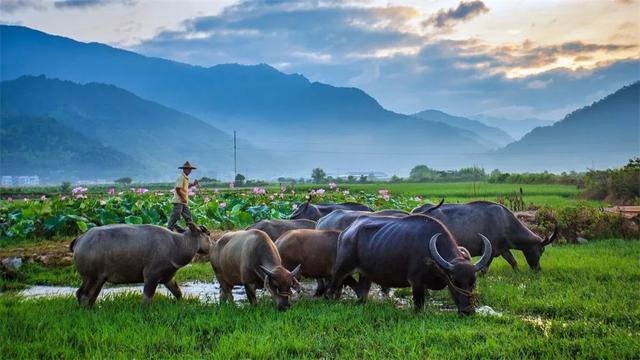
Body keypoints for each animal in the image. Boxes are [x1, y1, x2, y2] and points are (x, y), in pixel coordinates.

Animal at [70, 224, 210, 306]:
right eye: (207, 234)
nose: (212, 244)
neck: (176, 244)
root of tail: (80, 239)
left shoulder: (169, 278)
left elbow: (178, 293)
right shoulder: (151, 277)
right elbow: (147, 298)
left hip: (97, 279)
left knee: (87, 295)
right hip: (92, 278)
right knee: (84, 295)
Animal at [328, 214, 492, 316]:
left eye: (473, 282)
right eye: (454, 280)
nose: (468, 311)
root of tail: (346, 232)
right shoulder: (416, 282)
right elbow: (419, 305)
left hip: (365, 275)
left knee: (362, 292)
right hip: (342, 267)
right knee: (334, 284)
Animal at [412, 201, 556, 272]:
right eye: (541, 250)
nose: (538, 269)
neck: (505, 222)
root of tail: (416, 211)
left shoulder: (503, 249)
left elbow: (513, 262)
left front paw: (518, 273)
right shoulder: (489, 251)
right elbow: (484, 269)